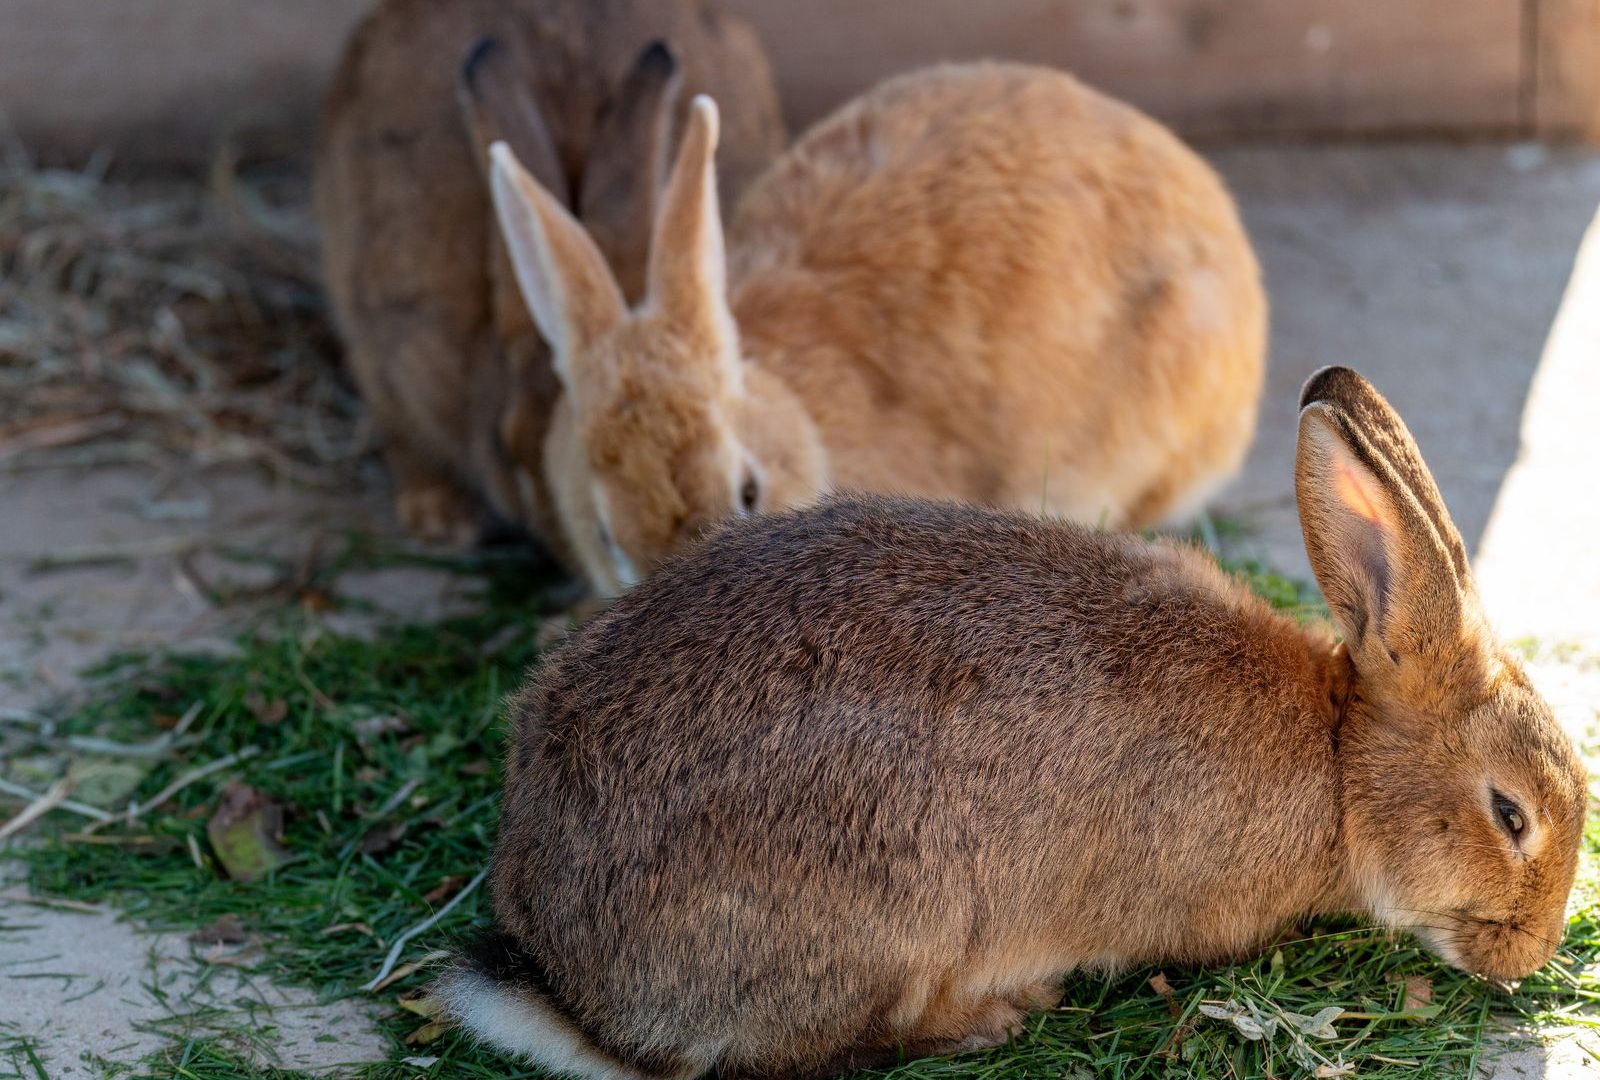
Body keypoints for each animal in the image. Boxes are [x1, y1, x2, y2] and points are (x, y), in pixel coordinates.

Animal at [436, 366, 1585, 1079]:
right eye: (1510, 815)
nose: (1528, 956)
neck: (1339, 762)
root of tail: (573, 983)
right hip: (894, 904)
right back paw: (997, 1013)